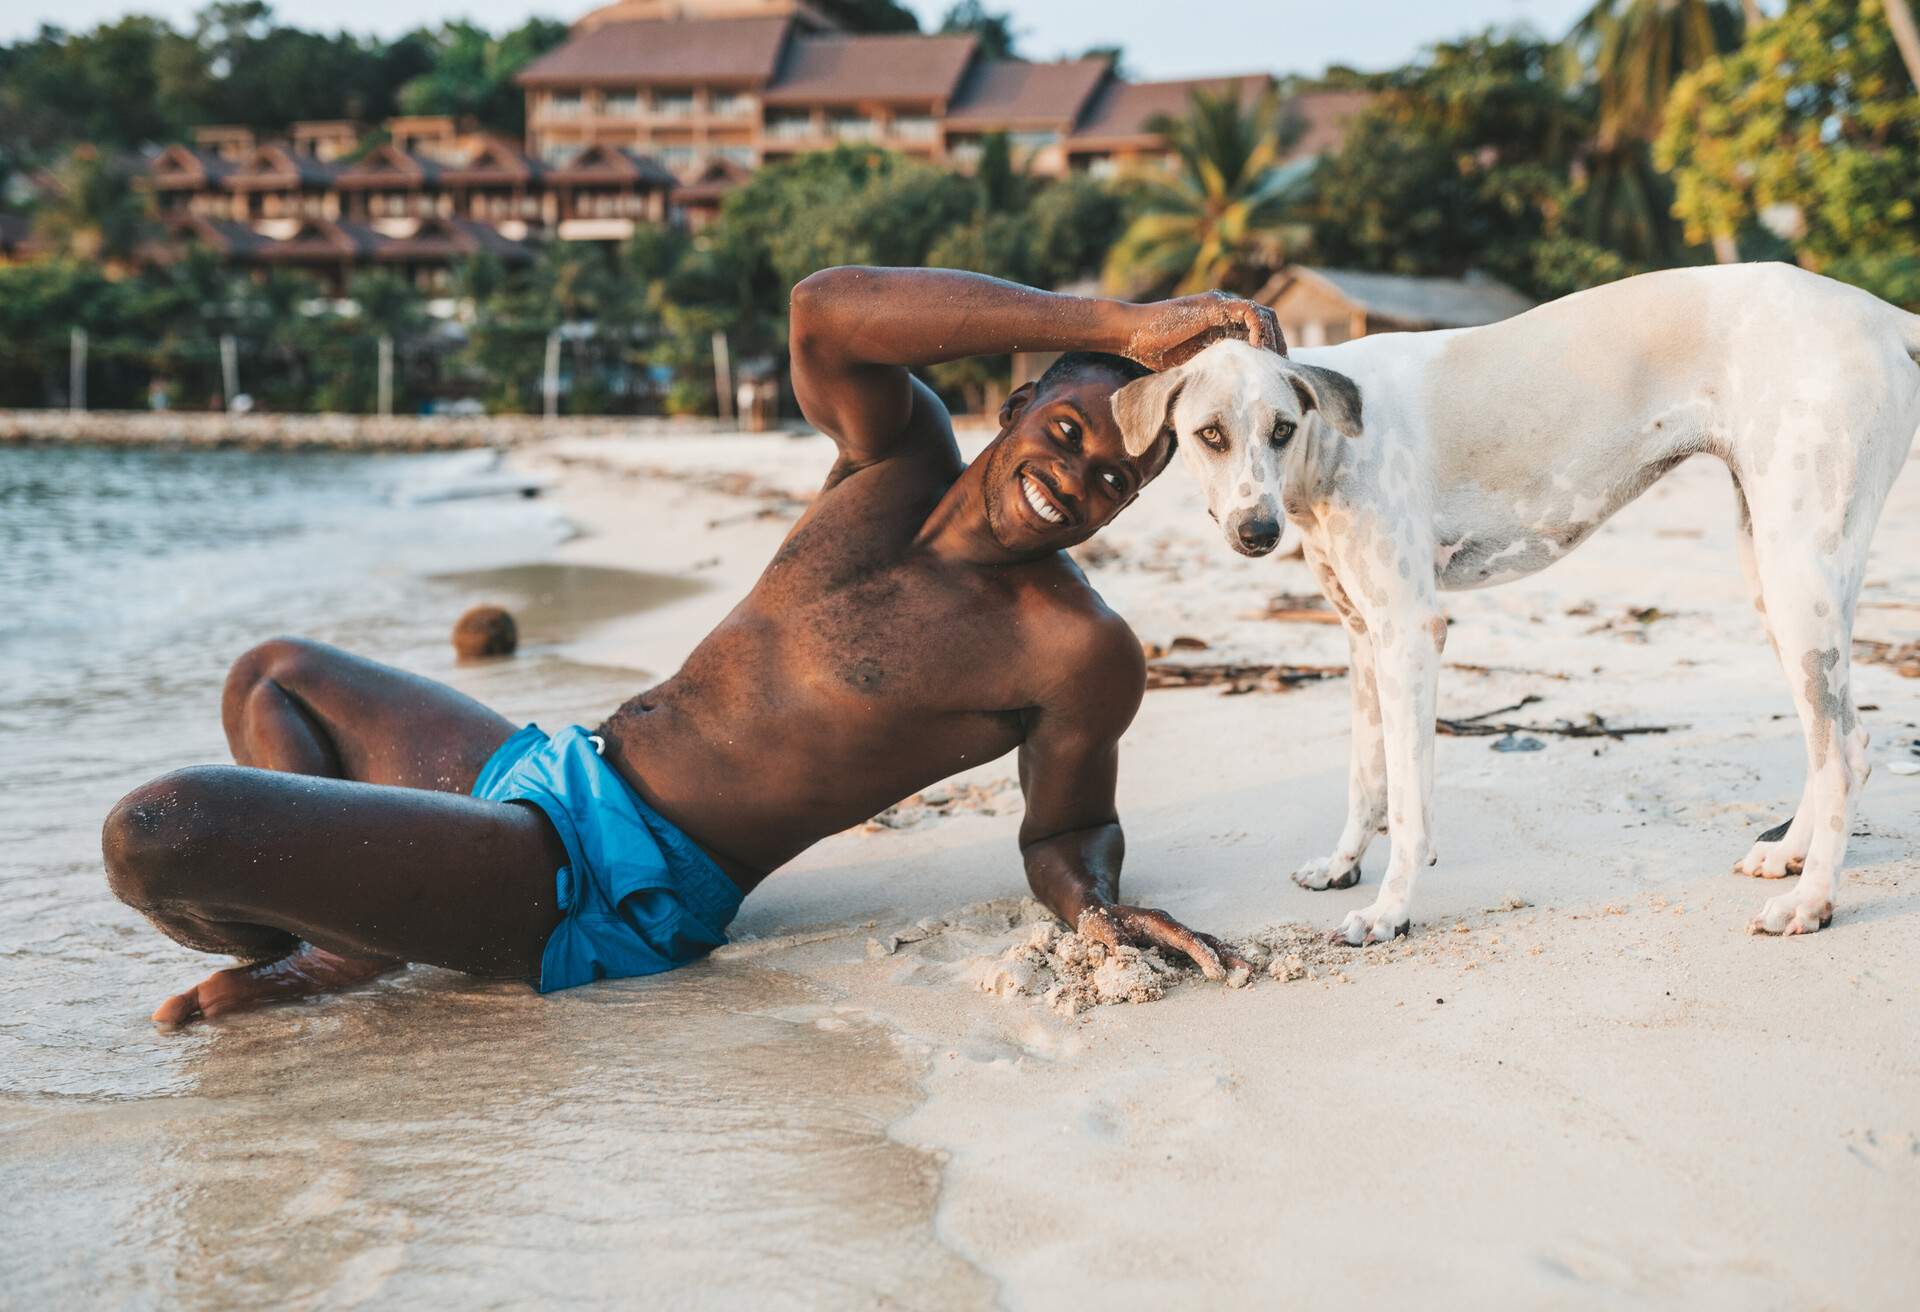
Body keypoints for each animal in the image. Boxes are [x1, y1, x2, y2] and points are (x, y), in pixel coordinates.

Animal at [1113, 267, 1920, 945]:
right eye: (1209, 435)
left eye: (1280, 429)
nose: (1258, 532)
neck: (1334, 439)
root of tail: (1882, 313)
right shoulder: (1363, 636)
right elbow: (1366, 776)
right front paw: (1343, 864)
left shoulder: (1411, 632)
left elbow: (1407, 801)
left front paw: (1390, 911)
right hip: (1774, 578)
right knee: (1836, 740)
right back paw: (1789, 856)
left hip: (1799, 574)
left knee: (1845, 748)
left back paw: (1812, 901)